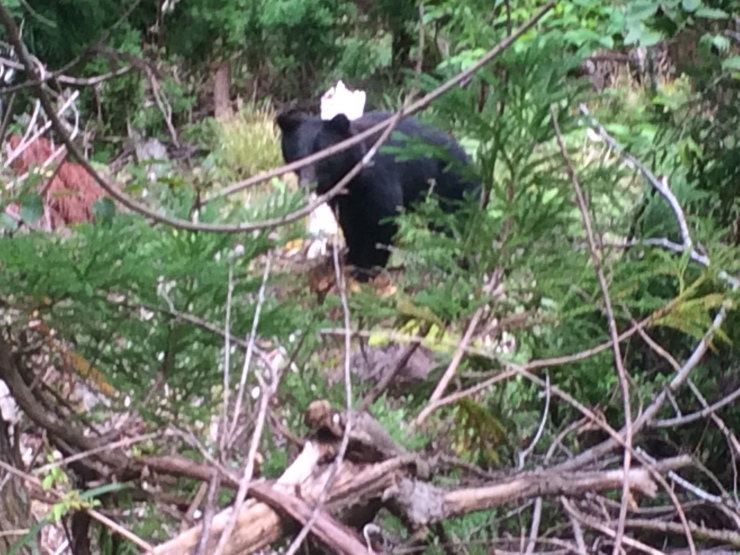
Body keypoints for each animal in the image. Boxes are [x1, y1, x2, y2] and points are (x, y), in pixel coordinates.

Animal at [278, 110, 480, 280]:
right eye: (298, 155)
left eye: (323, 156)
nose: (307, 183)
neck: (352, 176)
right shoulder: (345, 200)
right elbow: (351, 225)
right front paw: (353, 258)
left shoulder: (379, 179)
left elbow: (382, 219)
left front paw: (367, 268)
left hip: (452, 189)